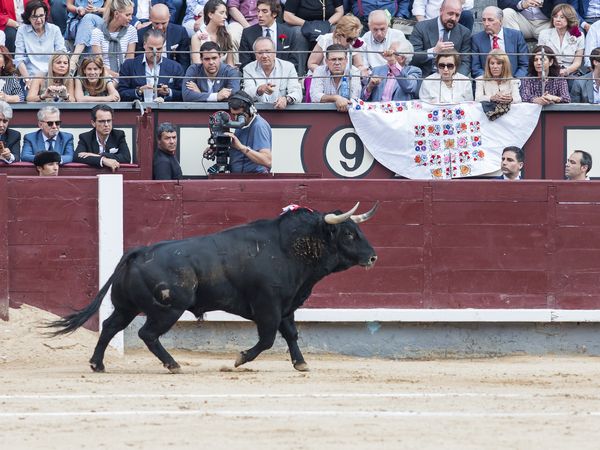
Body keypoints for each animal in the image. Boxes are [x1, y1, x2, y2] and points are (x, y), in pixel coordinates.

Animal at [49, 202, 378, 370]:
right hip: (168, 309)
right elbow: (268, 339)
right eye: (349, 234)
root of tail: (139, 251)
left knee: (109, 326)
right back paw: (173, 364)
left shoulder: (286, 306)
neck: (288, 248)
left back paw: (97, 364)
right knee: (147, 334)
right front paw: (239, 359)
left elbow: (291, 334)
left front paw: (301, 364)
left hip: (127, 306)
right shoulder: (268, 307)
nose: (373, 256)